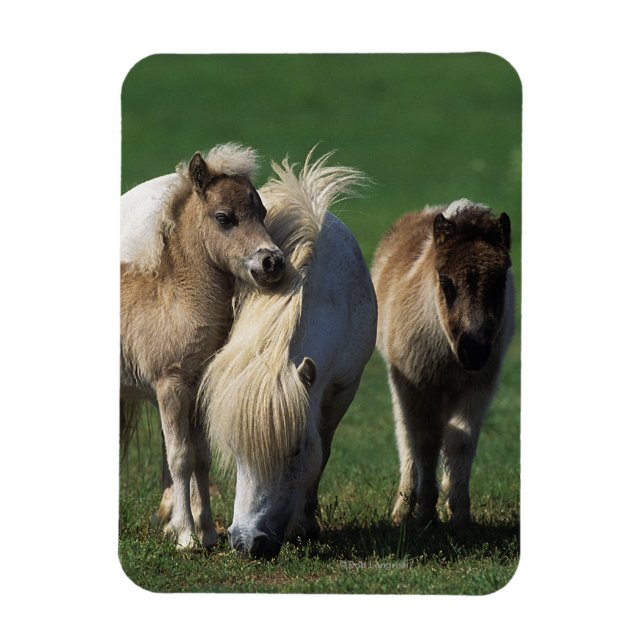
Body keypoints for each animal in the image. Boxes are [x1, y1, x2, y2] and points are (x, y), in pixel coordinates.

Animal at [120, 143, 285, 549]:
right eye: (224, 217)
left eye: (261, 212)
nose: (272, 261)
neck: (176, 300)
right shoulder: (170, 386)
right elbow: (179, 457)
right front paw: (186, 537)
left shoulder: (197, 391)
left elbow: (202, 458)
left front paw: (209, 533)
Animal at [198, 151, 377, 558]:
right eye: (237, 450)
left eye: (296, 451)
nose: (248, 542)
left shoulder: (343, 389)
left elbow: (323, 450)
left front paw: (306, 524)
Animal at [372, 198, 514, 527]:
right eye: (446, 283)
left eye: (500, 281)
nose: (474, 350)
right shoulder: (417, 385)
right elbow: (425, 441)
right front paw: (425, 512)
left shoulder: (478, 386)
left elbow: (460, 440)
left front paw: (459, 514)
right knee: (406, 437)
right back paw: (403, 510)